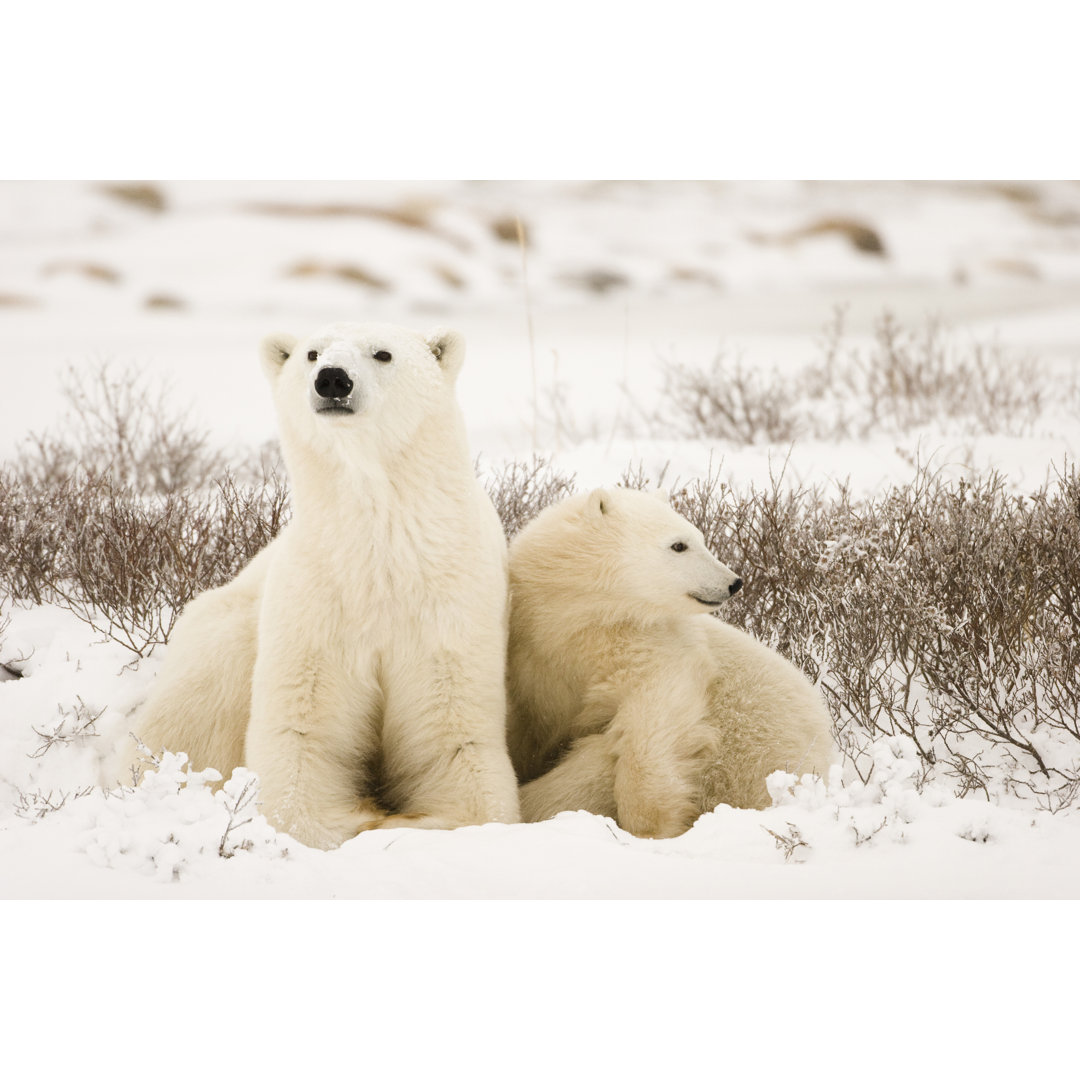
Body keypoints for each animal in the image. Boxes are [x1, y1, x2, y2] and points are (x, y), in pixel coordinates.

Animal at [118, 324, 518, 846]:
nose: (332, 379)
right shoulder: (318, 596)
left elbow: (455, 738)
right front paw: (345, 823)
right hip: (224, 631)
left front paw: (423, 822)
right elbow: (304, 733)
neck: (380, 555)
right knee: (189, 715)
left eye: (383, 353)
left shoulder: (448, 602)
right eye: (311, 353)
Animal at [505, 486, 833, 838]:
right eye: (679, 544)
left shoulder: (652, 645)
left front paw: (650, 825)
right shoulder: (532, 650)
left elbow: (654, 714)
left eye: (700, 538)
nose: (733, 582)